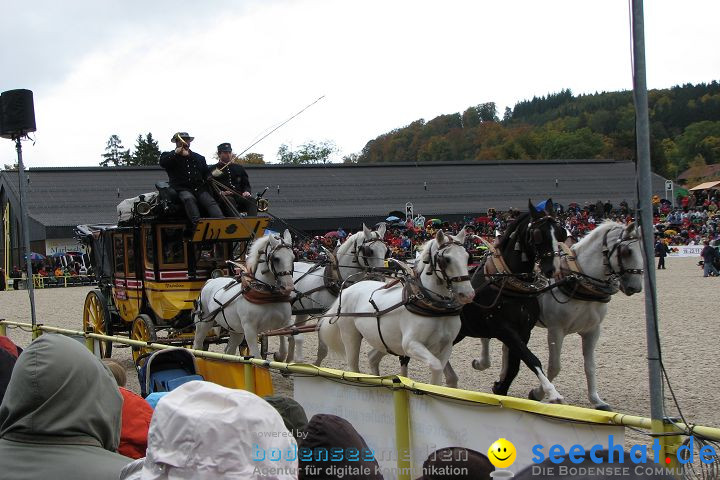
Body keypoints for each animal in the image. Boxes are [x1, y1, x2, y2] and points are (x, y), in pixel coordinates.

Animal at [274, 225, 388, 364]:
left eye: (386, 251)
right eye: (369, 251)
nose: (380, 278)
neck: (335, 280)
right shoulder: (322, 317)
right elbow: (323, 350)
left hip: (301, 310)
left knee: (293, 333)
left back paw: (289, 360)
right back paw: (280, 355)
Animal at [318, 230, 476, 386]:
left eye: (467, 257)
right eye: (446, 259)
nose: (468, 294)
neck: (435, 309)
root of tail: (347, 290)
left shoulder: (446, 346)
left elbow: (438, 374)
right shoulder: (410, 344)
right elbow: (435, 366)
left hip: (386, 341)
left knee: (372, 357)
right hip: (350, 335)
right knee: (354, 366)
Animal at [442, 198, 572, 402]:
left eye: (561, 233)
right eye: (537, 234)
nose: (553, 269)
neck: (508, 285)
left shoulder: (524, 331)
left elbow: (515, 365)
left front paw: (500, 388)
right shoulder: (504, 329)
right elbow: (531, 358)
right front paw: (552, 393)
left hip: (460, 332)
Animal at [478, 221, 640, 408]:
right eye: (627, 251)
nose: (635, 287)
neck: (578, 281)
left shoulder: (592, 331)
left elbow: (590, 366)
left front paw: (596, 400)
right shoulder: (556, 330)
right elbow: (554, 366)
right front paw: (538, 393)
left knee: (506, 347)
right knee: (486, 338)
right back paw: (482, 363)